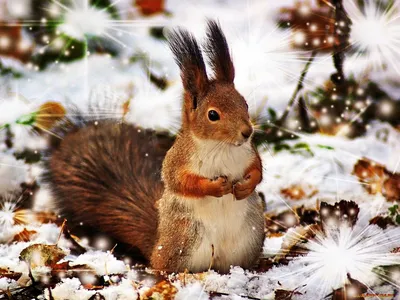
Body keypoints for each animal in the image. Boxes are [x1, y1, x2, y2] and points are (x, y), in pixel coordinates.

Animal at [44, 21, 266, 274]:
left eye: (244, 103)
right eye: (213, 115)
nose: (247, 132)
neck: (222, 147)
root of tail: (156, 244)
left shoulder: (249, 153)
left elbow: (257, 169)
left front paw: (246, 185)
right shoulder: (178, 160)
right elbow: (180, 182)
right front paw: (215, 187)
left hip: (249, 237)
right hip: (185, 239)